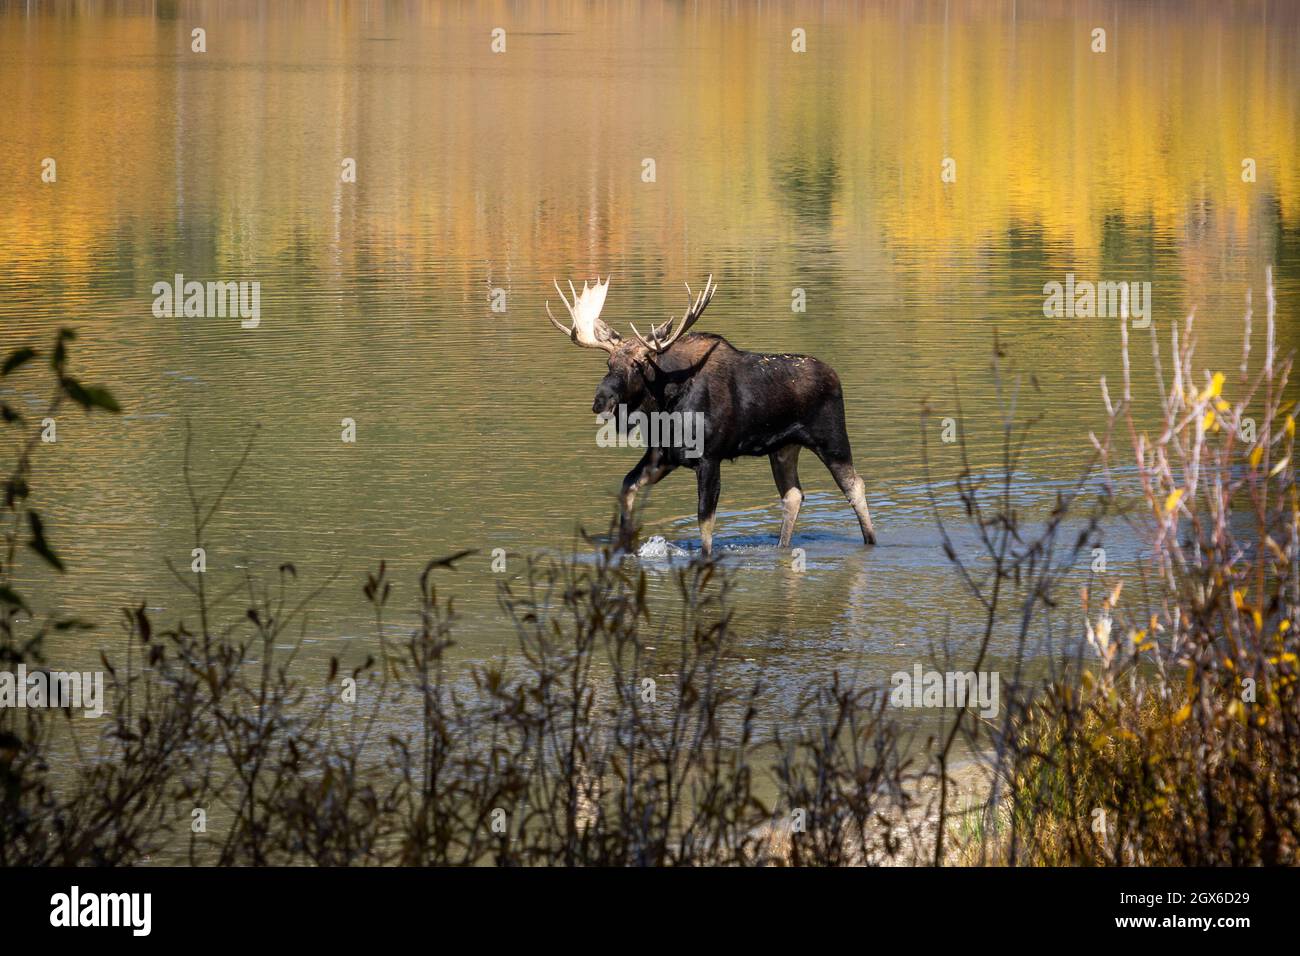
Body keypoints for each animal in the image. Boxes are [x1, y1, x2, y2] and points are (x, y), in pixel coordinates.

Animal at [543, 277, 878, 556]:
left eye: (639, 364)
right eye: (609, 362)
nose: (601, 400)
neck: (665, 406)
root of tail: (835, 375)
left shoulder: (709, 457)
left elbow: (705, 520)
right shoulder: (662, 455)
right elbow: (627, 487)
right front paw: (626, 545)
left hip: (831, 439)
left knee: (855, 486)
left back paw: (871, 540)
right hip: (783, 448)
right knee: (793, 495)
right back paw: (782, 546)